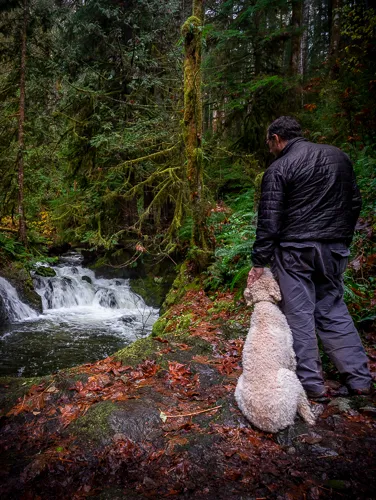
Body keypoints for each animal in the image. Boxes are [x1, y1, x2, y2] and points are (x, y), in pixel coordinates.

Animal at [236, 268, 316, 432]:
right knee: (302, 401)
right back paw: (310, 417)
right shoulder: (290, 354)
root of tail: (272, 425)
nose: (266, 267)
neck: (263, 304)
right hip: (289, 378)